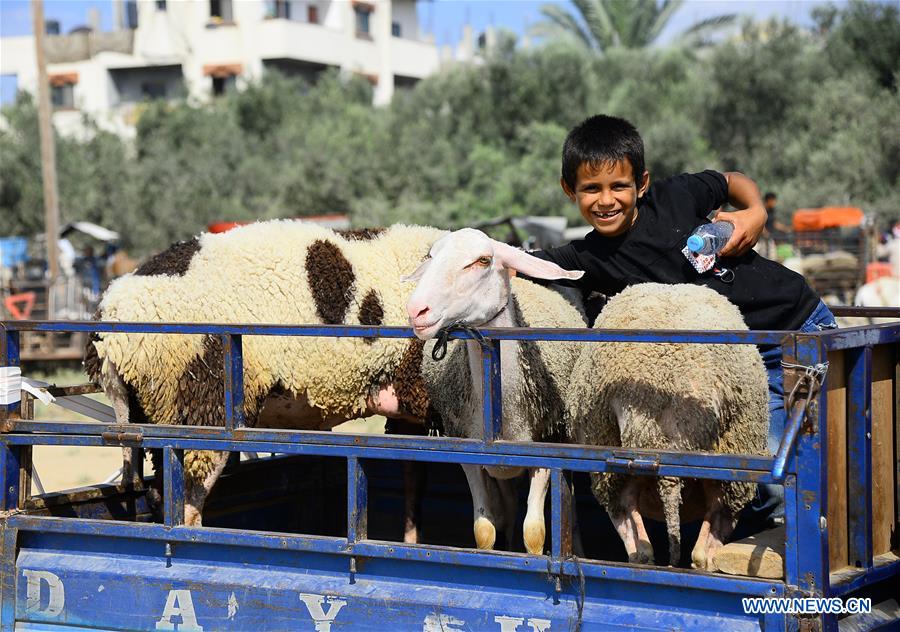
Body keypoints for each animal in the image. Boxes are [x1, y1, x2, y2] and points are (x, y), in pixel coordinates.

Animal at [86, 220, 444, 524]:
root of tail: (112, 320)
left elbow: (414, 485)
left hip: (152, 410)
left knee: (162, 494)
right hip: (202, 410)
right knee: (184, 505)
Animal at [404, 227, 588, 552]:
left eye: (483, 260)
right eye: (431, 256)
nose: (417, 311)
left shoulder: (546, 448)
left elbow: (535, 532)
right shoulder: (468, 452)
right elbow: (484, 530)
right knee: (509, 507)